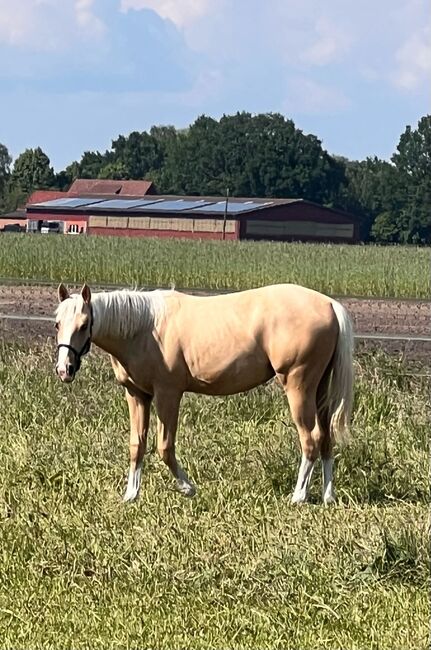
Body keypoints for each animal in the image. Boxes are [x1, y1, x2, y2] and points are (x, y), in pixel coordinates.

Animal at [54, 282, 354, 502]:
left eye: (84, 324)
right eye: (57, 323)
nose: (64, 369)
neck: (144, 328)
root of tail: (330, 303)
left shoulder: (168, 394)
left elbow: (164, 446)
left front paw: (188, 488)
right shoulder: (137, 395)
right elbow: (136, 445)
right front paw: (131, 495)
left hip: (298, 387)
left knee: (310, 439)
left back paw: (299, 496)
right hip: (319, 390)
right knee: (326, 438)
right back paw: (328, 496)